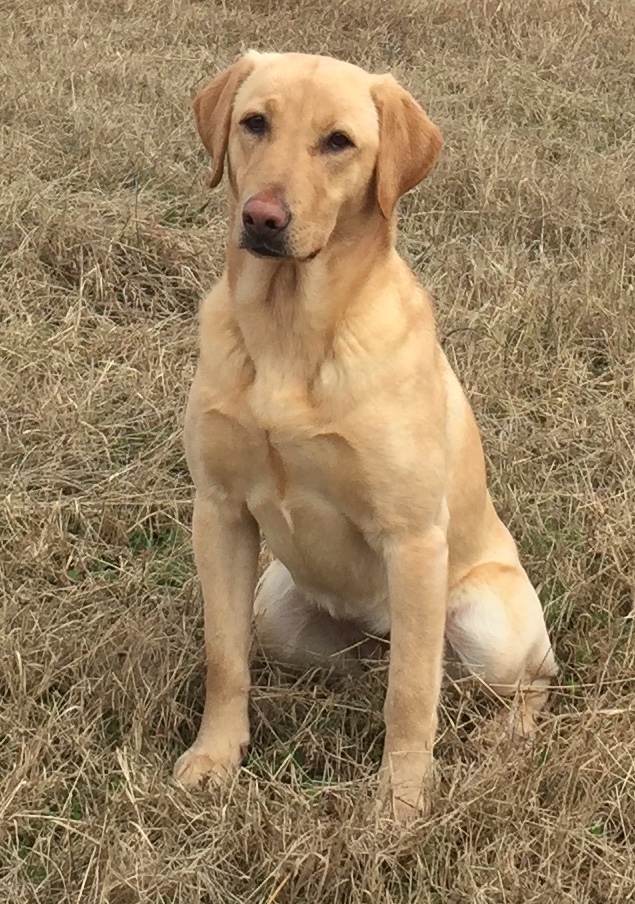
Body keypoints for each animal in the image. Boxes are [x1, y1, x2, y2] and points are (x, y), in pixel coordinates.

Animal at [174, 49, 556, 824]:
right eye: (254, 123)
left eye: (338, 142)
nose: (262, 217)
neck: (288, 329)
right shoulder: (220, 514)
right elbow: (224, 658)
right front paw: (216, 758)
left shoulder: (411, 540)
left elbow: (411, 694)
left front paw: (401, 804)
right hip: (278, 613)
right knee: (363, 669)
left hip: (487, 626)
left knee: (519, 679)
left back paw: (504, 739)